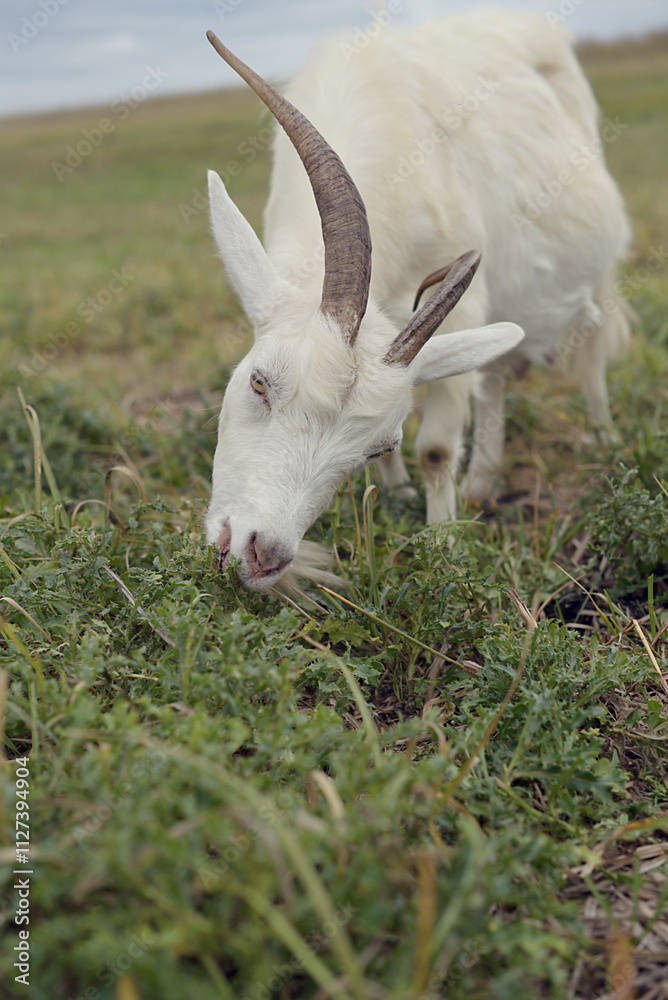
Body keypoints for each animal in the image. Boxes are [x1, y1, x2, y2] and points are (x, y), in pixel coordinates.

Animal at [203, 12, 630, 591]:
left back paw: (603, 438)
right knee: (494, 375)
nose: (261, 553)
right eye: (258, 382)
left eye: (378, 443)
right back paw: (483, 480)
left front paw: (443, 548)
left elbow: (436, 449)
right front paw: (400, 492)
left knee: (590, 354)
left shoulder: (463, 309)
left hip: (599, 271)